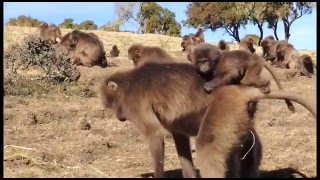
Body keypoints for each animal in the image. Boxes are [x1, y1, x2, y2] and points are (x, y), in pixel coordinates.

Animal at [100, 62, 316, 178]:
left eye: (114, 105)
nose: (120, 116)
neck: (128, 82)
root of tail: (240, 88)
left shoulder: (134, 102)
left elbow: (155, 134)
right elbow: (179, 139)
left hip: (225, 108)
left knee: (208, 147)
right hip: (239, 114)